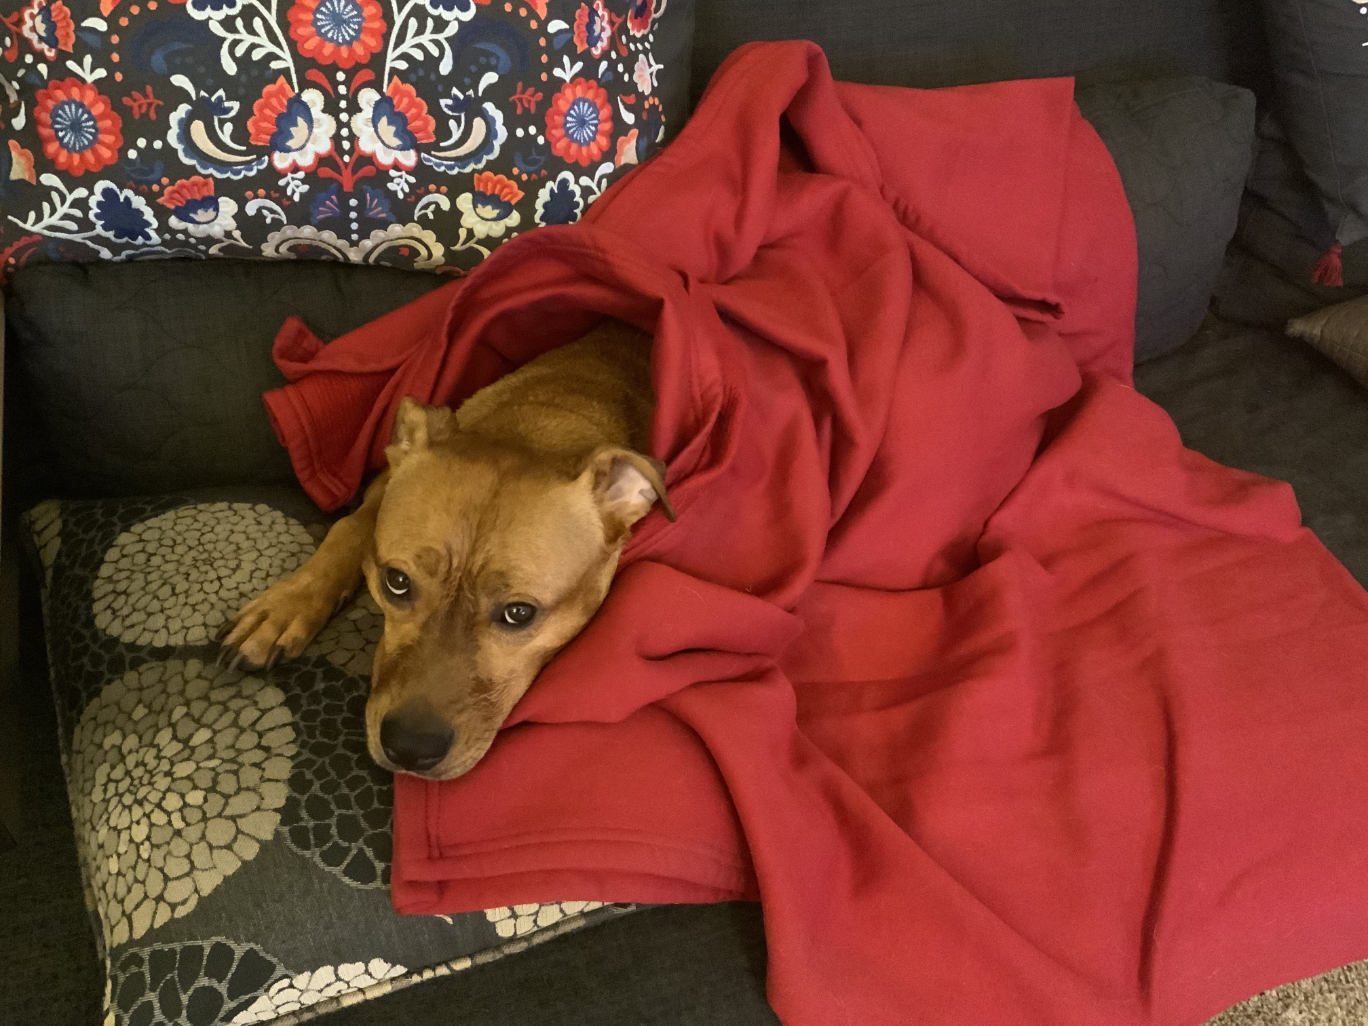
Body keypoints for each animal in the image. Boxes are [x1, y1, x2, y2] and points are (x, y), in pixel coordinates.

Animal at [218, 321, 673, 777]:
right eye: (396, 582)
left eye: (520, 613)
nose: (410, 748)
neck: (540, 425)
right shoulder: (382, 484)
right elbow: (349, 528)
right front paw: (284, 607)